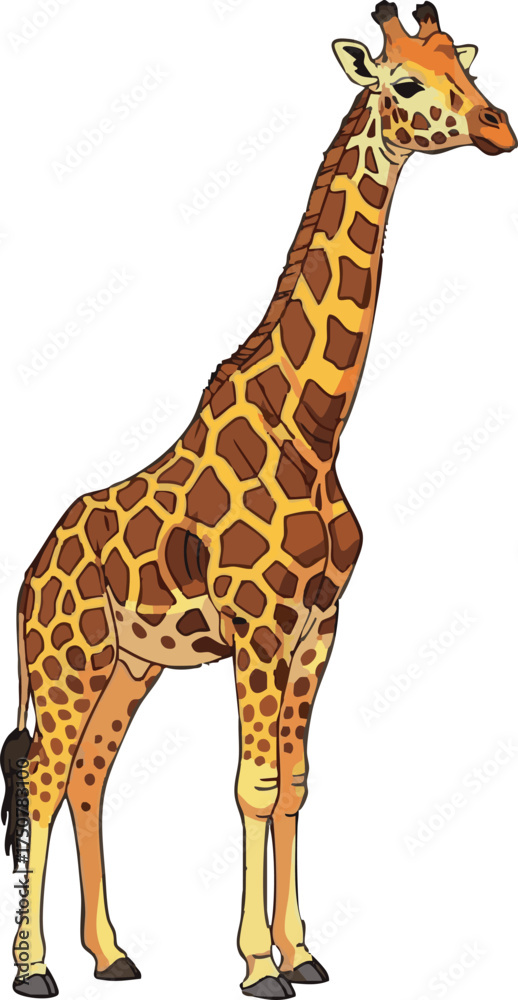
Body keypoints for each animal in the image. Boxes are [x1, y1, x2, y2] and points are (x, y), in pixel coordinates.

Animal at [2, 3, 515, 997]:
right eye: (404, 81)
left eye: (466, 69)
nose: (498, 126)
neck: (313, 429)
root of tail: (28, 577)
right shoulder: (260, 627)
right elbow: (256, 784)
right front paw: (254, 965)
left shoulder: (320, 627)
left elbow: (298, 782)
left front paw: (304, 952)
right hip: (67, 661)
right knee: (42, 778)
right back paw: (37, 969)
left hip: (131, 665)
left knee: (87, 776)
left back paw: (113, 954)